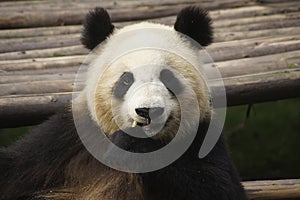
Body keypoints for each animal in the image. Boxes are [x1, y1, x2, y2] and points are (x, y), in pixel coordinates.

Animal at [0, 6, 247, 200]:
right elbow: (14, 167)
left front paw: (133, 145)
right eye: (126, 80)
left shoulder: (203, 135)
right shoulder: (69, 137)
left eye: (168, 78)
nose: (148, 111)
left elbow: (219, 188)